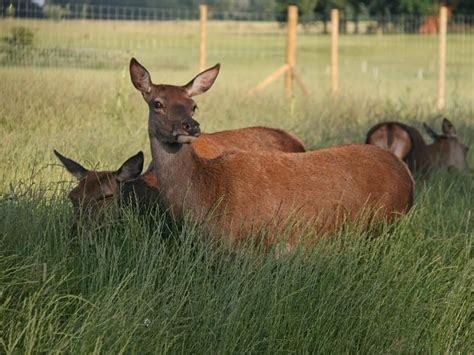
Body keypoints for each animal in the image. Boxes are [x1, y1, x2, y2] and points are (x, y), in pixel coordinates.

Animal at [131, 57, 414, 248]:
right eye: (157, 103)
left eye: (193, 105)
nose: (190, 126)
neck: (205, 195)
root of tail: (407, 177)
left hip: (385, 219)